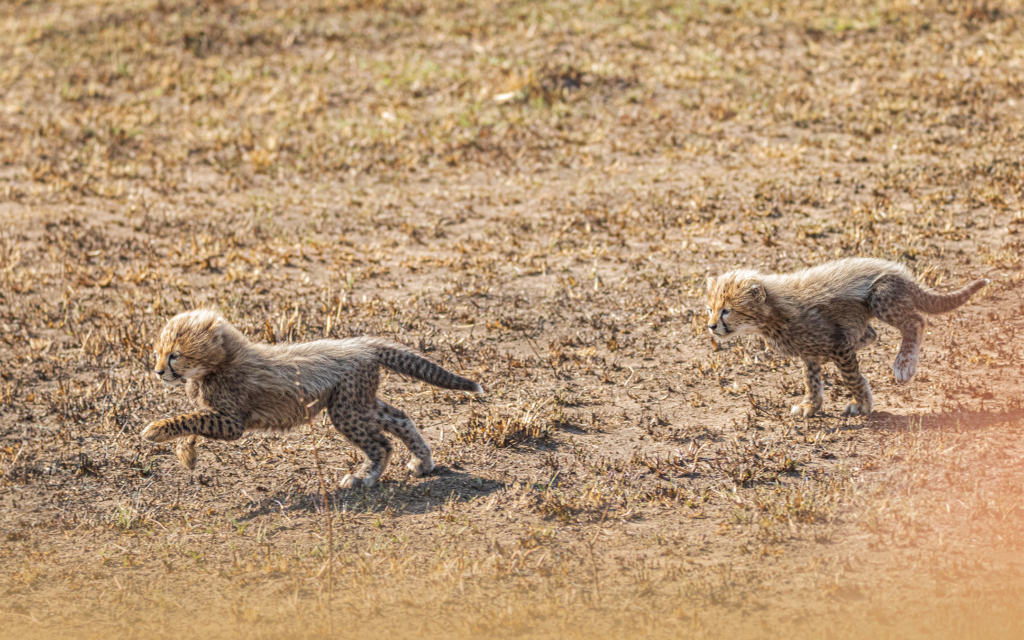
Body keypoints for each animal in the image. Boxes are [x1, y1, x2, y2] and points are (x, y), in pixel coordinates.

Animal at [140, 309, 482, 488]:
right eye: (158, 352)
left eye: (175, 354)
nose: (158, 371)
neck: (221, 362)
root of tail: (359, 344)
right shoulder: (219, 414)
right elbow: (193, 423)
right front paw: (187, 454)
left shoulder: (231, 422)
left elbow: (189, 418)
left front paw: (156, 430)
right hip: (360, 403)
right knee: (399, 417)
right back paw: (422, 462)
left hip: (346, 410)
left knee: (381, 443)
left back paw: (363, 478)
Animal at [704, 258, 988, 418]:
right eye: (710, 309)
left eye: (727, 310)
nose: (711, 326)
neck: (772, 313)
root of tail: (900, 271)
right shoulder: (810, 352)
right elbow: (811, 380)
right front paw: (810, 406)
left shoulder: (837, 344)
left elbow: (850, 377)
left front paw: (861, 403)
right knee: (871, 334)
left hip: (881, 295)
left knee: (916, 321)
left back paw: (904, 364)